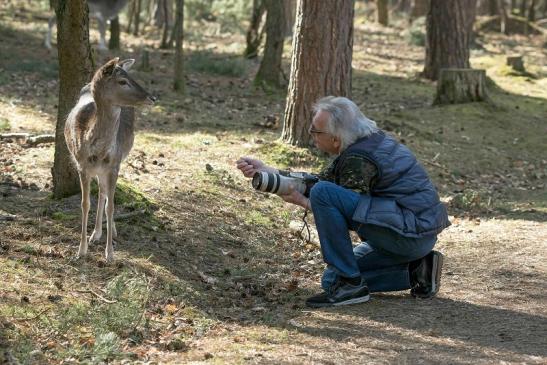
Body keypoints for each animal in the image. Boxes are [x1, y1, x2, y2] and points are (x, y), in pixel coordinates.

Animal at [66, 57, 157, 262]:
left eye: (131, 76)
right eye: (122, 81)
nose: (152, 98)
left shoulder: (114, 165)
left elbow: (112, 206)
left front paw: (109, 254)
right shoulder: (82, 166)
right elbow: (85, 204)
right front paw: (81, 250)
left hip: (117, 162)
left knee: (105, 193)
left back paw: (108, 231)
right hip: (97, 170)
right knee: (102, 191)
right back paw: (95, 234)